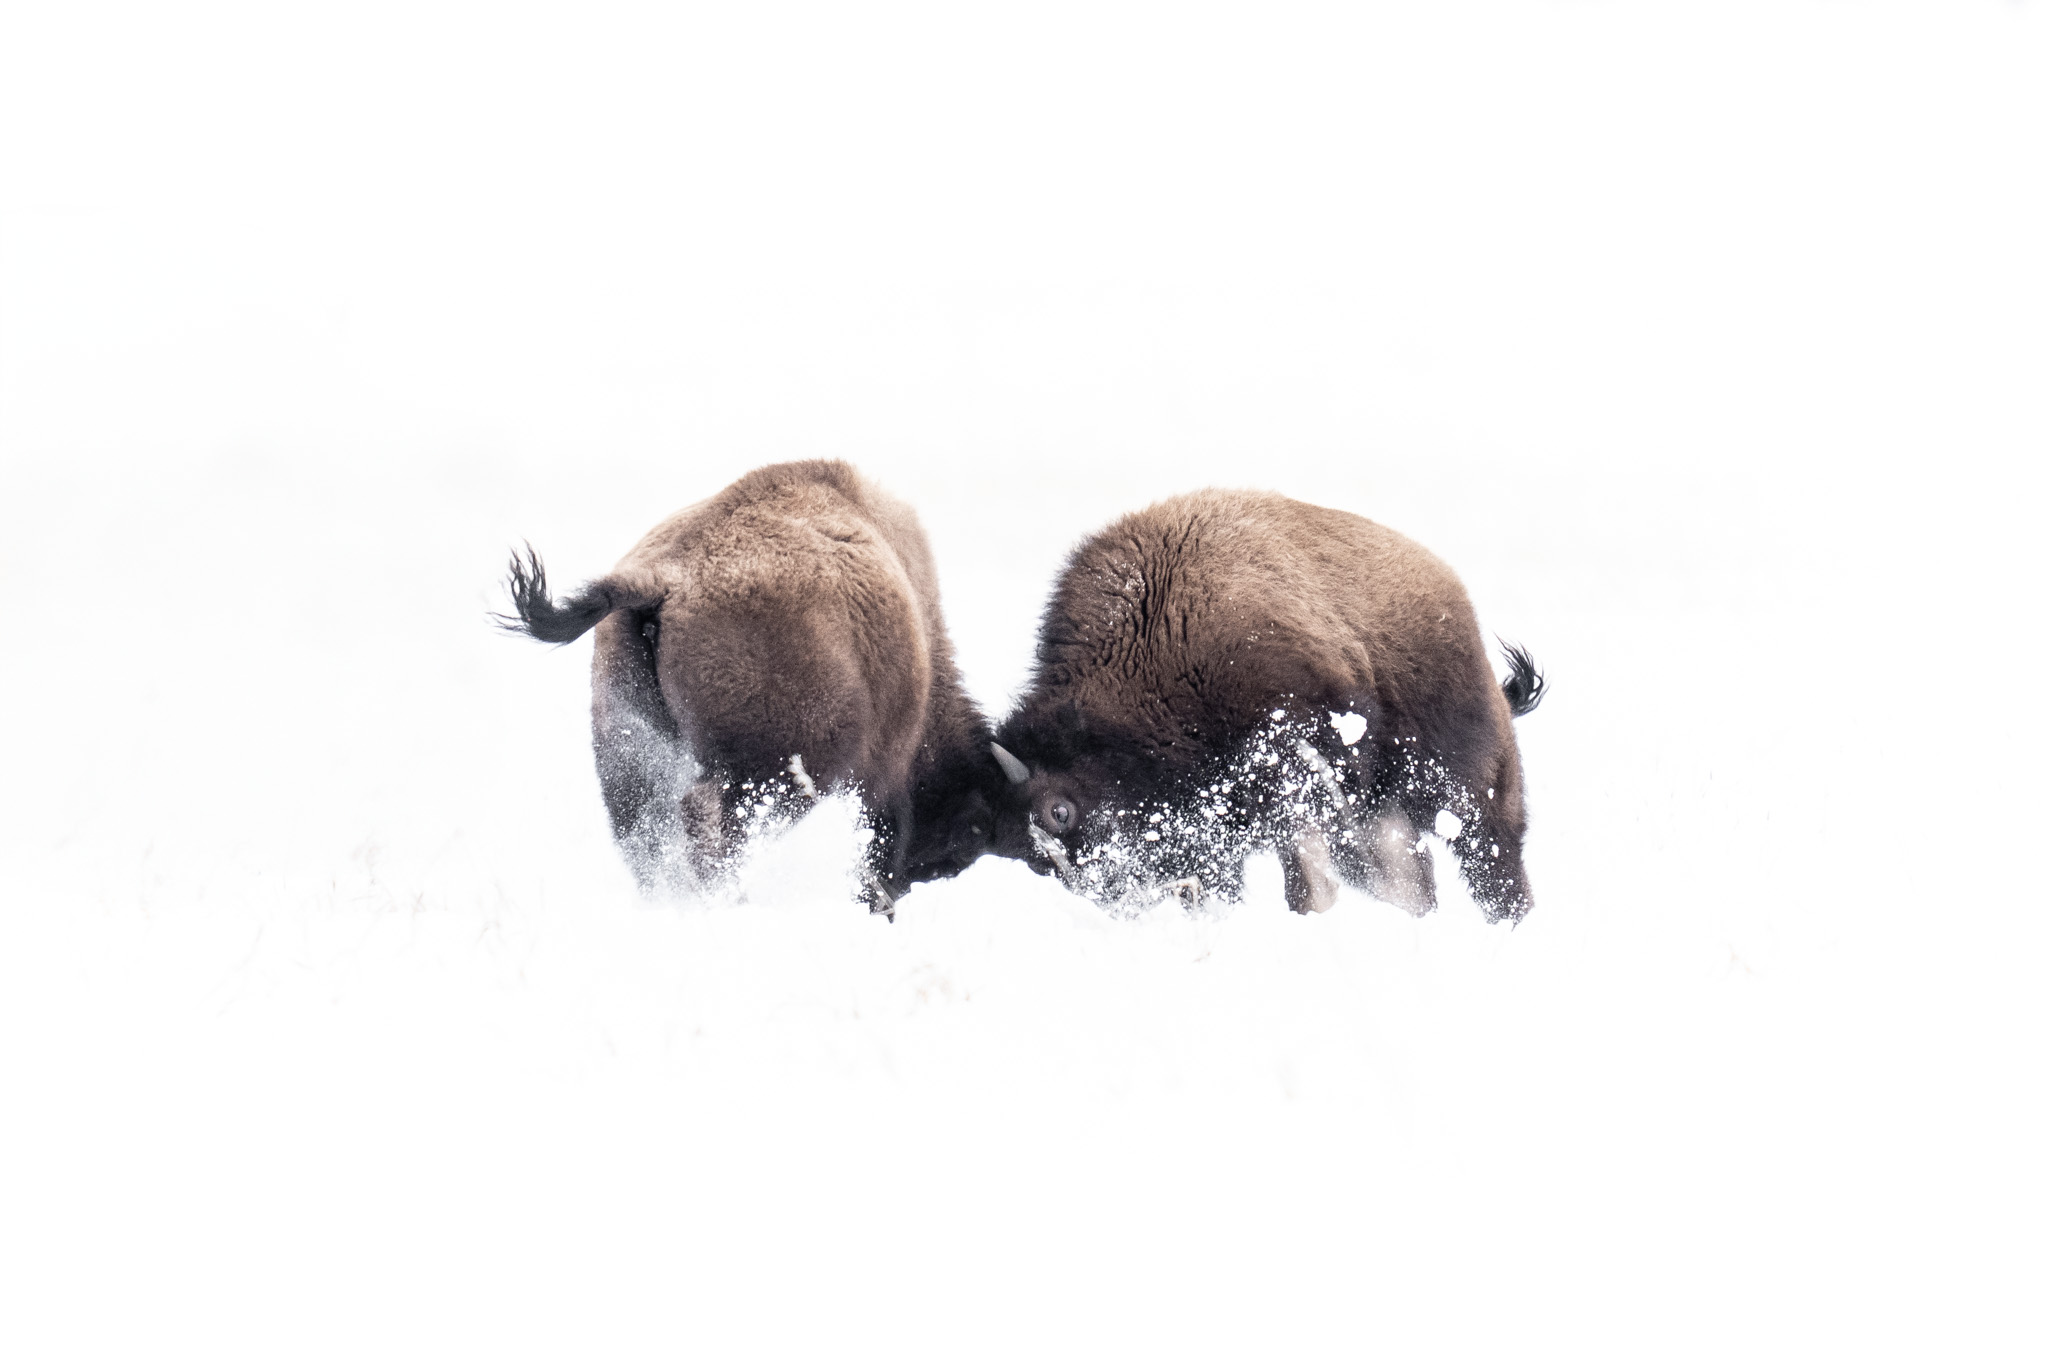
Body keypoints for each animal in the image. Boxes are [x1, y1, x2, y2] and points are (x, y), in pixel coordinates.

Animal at [499, 460, 1004, 911]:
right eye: (967, 827)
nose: (919, 878)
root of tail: (664, 578)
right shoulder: (884, 777)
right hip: (765, 780)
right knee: (717, 840)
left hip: (629, 752)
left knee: (650, 839)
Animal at [987, 490, 1544, 920]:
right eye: (1032, 860)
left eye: (1060, 811)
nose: (1116, 904)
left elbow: (1305, 873)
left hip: (1469, 796)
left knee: (1497, 868)